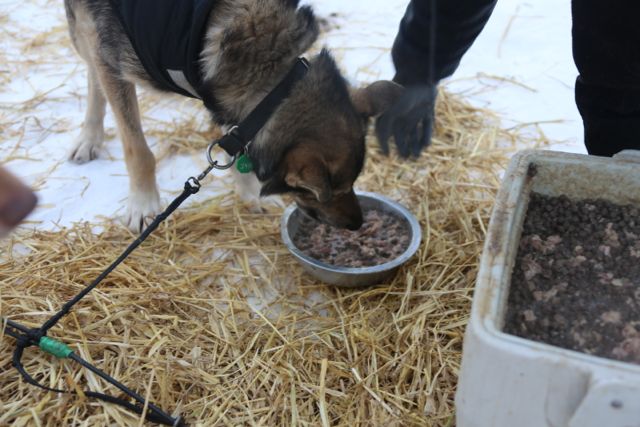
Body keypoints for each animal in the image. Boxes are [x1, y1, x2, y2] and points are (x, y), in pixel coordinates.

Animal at [64, 0, 404, 232]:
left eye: (353, 184)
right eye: (318, 193)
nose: (358, 224)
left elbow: (234, 143)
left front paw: (250, 193)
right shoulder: (112, 60)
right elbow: (137, 150)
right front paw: (144, 204)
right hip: (84, 28)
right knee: (92, 70)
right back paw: (89, 137)